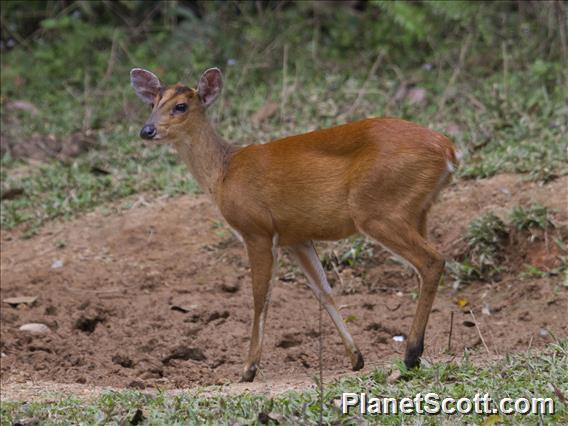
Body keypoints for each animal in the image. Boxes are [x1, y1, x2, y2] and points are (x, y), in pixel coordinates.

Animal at [130, 67, 462, 382]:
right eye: (152, 103)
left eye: (181, 106)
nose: (147, 130)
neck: (223, 173)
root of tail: (449, 150)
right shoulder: (296, 237)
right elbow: (323, 291)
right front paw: (356, 358)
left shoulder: (257, 229)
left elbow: (260, 296)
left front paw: (248, 369)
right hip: (417, 210)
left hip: (377, 210)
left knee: (432, 261)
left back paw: (411, 354)